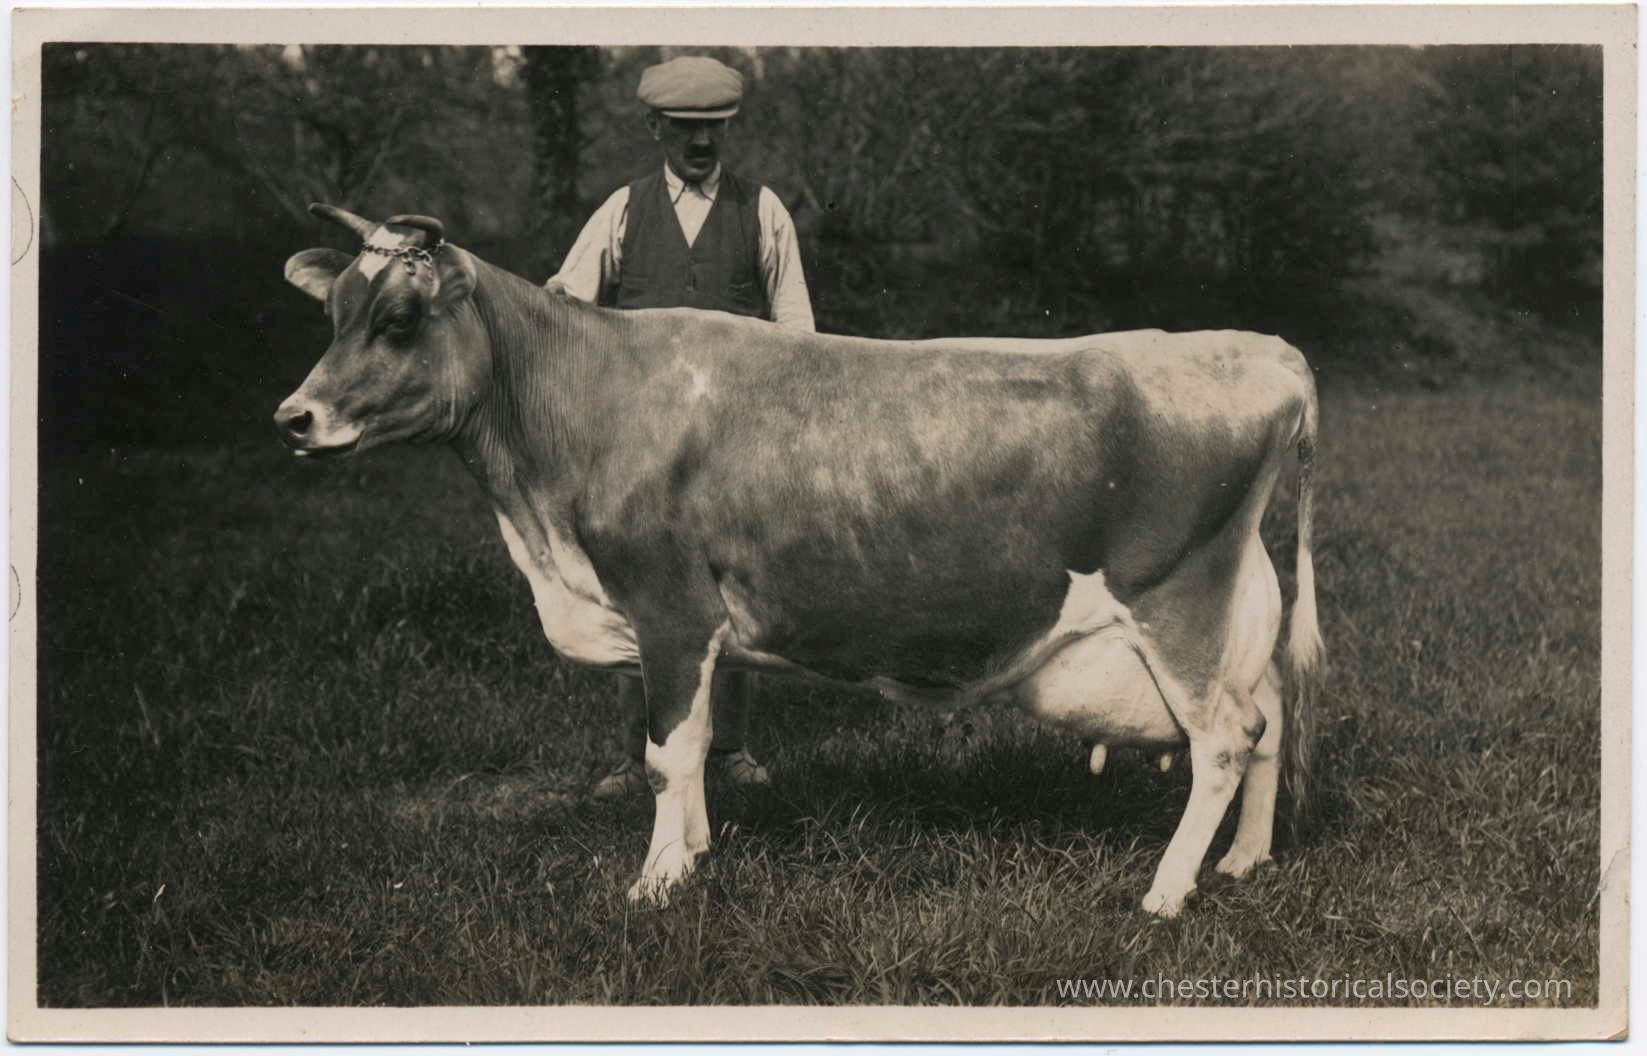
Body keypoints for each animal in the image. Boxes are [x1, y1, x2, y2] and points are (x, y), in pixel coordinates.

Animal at [277, 204, 1324, 917]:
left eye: (399, 320)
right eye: (334, 314)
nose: (294, 417)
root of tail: (1261, 347)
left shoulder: (668, 606)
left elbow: (666, 751)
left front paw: (655, 881)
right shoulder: (689, 630)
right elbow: (694, 744)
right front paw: (695, 853)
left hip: (1176, 601)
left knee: (1222, 740)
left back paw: (1166, 891)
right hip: (1240, 598)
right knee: (1270, 714)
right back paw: (1244, 861)